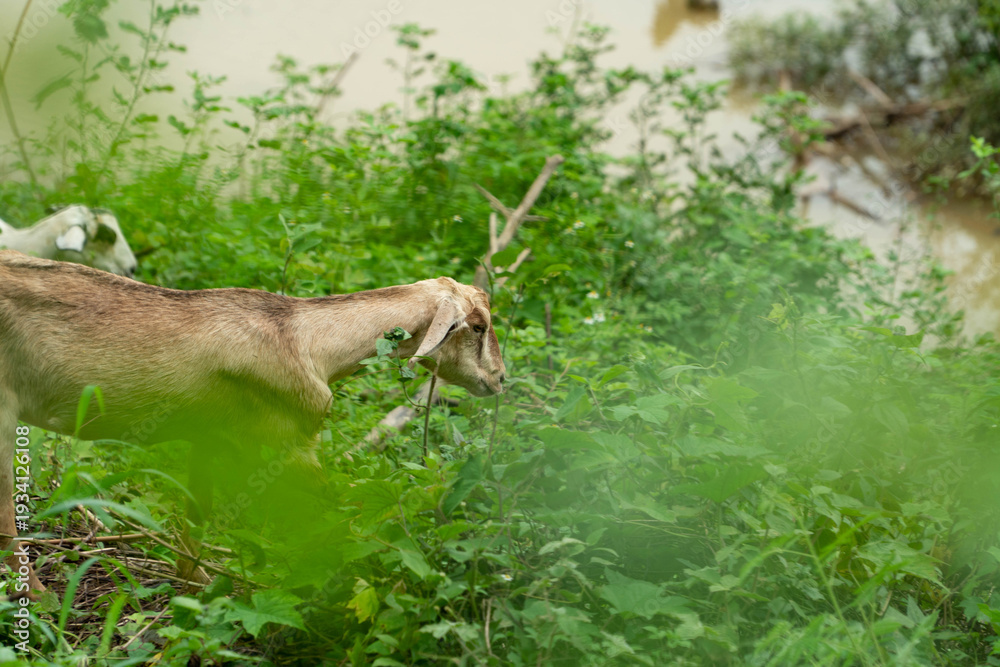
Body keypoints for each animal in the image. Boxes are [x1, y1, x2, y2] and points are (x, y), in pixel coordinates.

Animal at [0, 250, 506, 596]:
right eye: (478, 326)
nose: (499, 378)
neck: (306, 341)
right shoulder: (288, 447)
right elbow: (341, 516)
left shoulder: (208, 439)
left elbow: (196, 517)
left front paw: (198, 585)